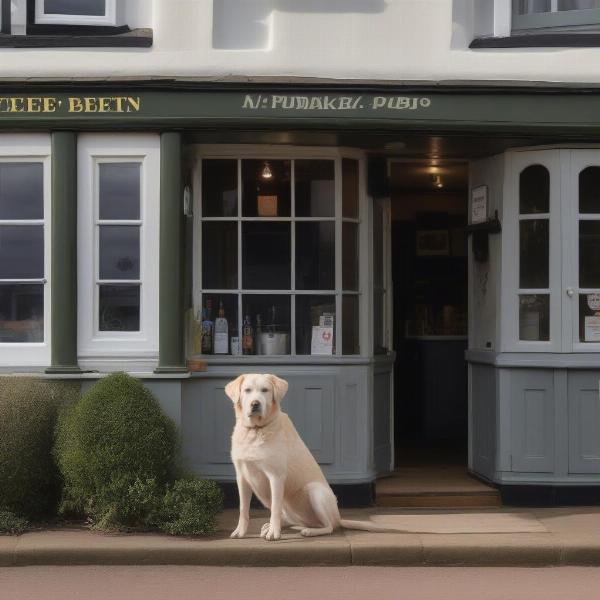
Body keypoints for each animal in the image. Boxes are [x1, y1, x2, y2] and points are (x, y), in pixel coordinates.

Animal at [225, 372, 390, 540]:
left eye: (265, 390)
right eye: (247, 390)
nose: (255, 404)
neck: (255, 430)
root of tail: (338, 518)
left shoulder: (276, 477)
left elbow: (275, 509)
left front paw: (273, 533)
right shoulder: (242, 477)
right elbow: (243, 509)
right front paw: (240, 531)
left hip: (315, 491)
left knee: (328, 527)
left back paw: (308, 531)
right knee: (294, 520)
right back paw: (274, 526)